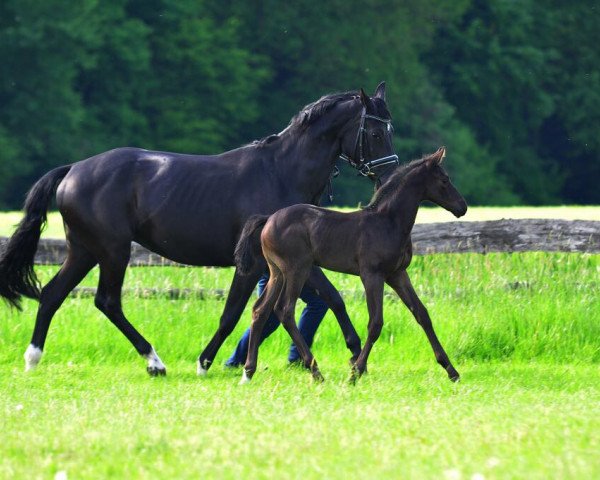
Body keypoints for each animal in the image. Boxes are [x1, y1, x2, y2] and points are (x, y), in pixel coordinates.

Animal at [0, 82, 398, 376]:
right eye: (376, 132)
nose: (390, 177)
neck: (280, 171)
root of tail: (73, 170)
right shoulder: (254, 264)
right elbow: (233, 313)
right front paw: (205, 363)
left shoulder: (296, 261)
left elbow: (332, 297)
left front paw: (355, 352)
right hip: (113, 250)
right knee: (107, 301)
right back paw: (154, 362)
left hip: (84, 250)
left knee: (53, 294)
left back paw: (33, 358)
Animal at [236, 148, 468, 384]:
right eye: (444, 180)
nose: (462, 207)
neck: (388, 223)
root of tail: (268, 218)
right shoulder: (372, 275)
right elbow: (375, 323)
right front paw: (356, 372)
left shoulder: (397, 274)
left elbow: (422, 314)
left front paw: (451, 370)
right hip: (297, 270)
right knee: (285, 310)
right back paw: (316, 371)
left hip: (277, 273)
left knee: (260, 310)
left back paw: (248, 371)